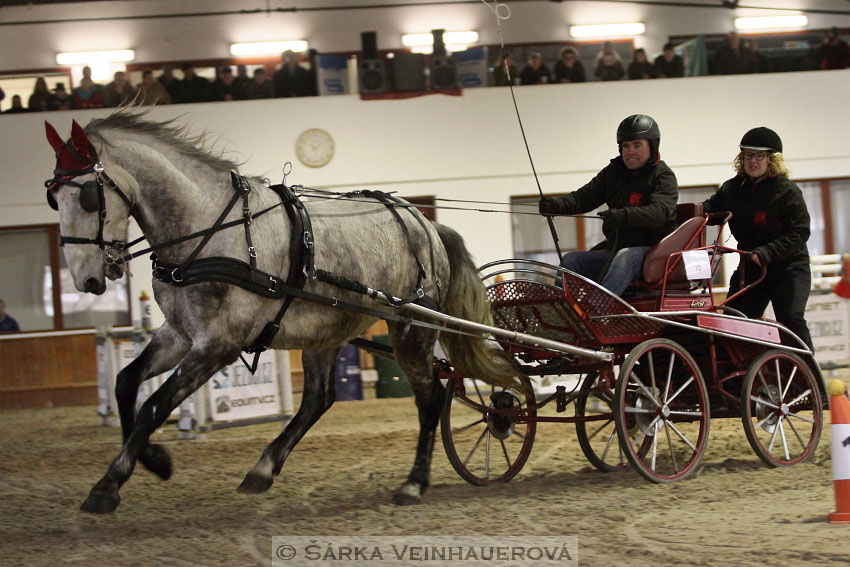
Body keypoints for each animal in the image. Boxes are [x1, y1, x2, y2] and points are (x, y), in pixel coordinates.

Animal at [46, 111, 516, 516]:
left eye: (87, 196)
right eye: (53, 197)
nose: (87, 279)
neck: (208, 232)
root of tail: (426, 224)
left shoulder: (217, 344)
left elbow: (154, 407)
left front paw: (108, 486)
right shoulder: (179, 334)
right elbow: (127, 384)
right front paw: (155, 460)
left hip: (409, 329)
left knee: (430, 397)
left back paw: (414, 483)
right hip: (327, 330)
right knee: (318, 399)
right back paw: (263, 468)